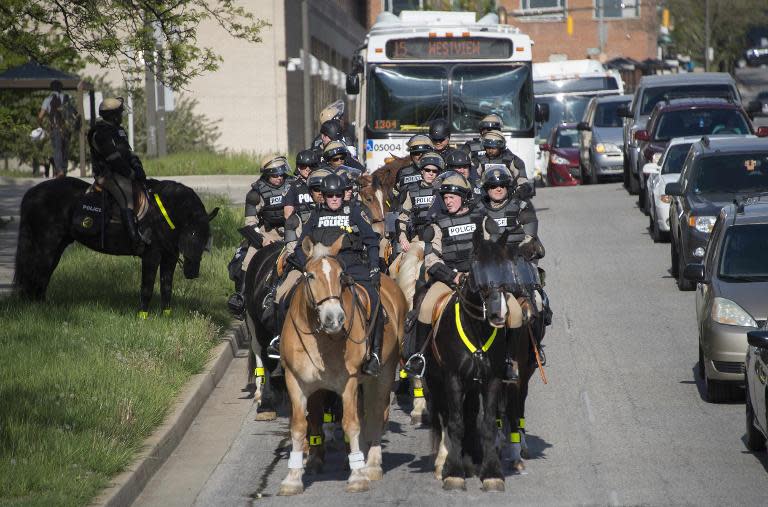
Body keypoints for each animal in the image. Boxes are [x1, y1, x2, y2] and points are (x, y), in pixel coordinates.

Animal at [15, 177, 219, 314]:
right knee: (36, 275)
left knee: (41, 276)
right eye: (192, 233)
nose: (193, 273)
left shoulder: (169, 258)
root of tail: (31, 194)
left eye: (206, 237)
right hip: (46, 247)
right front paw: (142, 315)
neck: (161, 215)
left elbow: (166, 287)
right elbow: (147, 288)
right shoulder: (151, 257)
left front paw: (165, 316)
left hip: (56, 249)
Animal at [278, 235, 408, 496]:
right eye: (310, 275)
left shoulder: (348, 383)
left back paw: (371, 465)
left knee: (376, 414)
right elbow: (299, 426)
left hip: (382, 375)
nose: (334, 319)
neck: (320, 338)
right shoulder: (297, 382)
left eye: (340, 276)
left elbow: (351, 424)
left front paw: (357, 477)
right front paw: (293, 478)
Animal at [424, 226, 536, 492]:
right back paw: (444, 463)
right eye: (476, 267)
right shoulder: (453, 378)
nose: (498, 313)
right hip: (435, 381)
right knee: (444, 417)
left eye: (506, 267)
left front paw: (491, 473)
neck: (476, 327)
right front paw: (454, 473)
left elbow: (486, 423)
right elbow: (455, 423)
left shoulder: (492, 379)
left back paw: (469, 460)